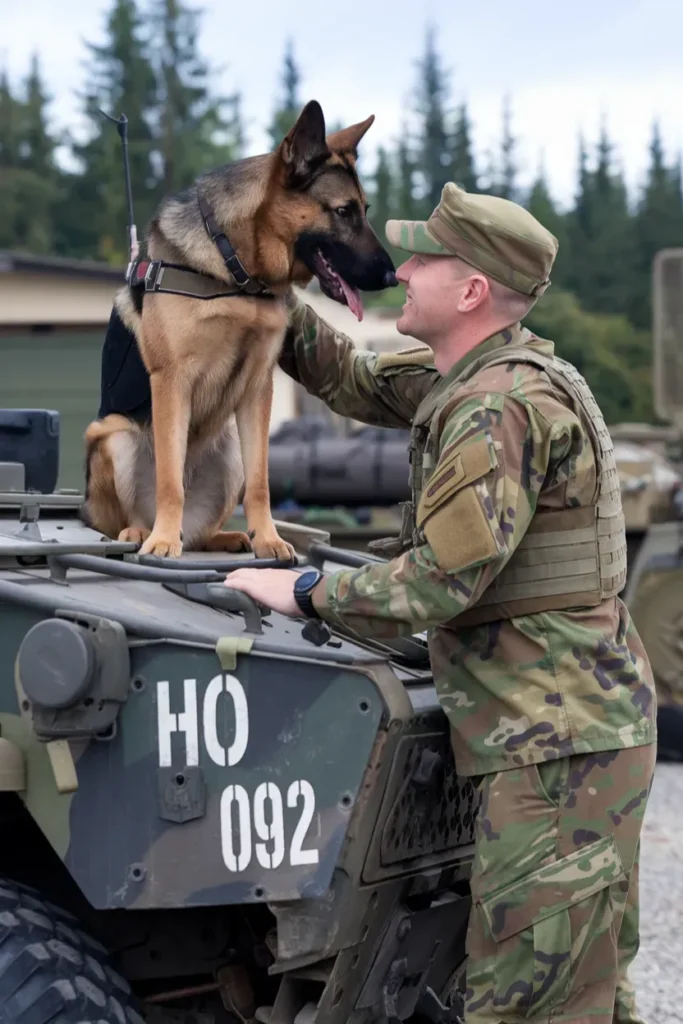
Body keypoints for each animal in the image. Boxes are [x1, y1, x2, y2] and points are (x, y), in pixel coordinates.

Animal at [82, 99, 397, 561]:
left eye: (366, 211)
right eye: (344, 212)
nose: (393, 277)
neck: (236, 271)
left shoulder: (258, 387)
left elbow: (262, 481)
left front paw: (268, 538)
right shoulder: (171, 381)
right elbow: (169, 480)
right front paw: (162, 541)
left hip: (228, 447)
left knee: (201, 531)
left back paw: (221, 536)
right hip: (113, 435)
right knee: (132, 513)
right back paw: (144, 532)